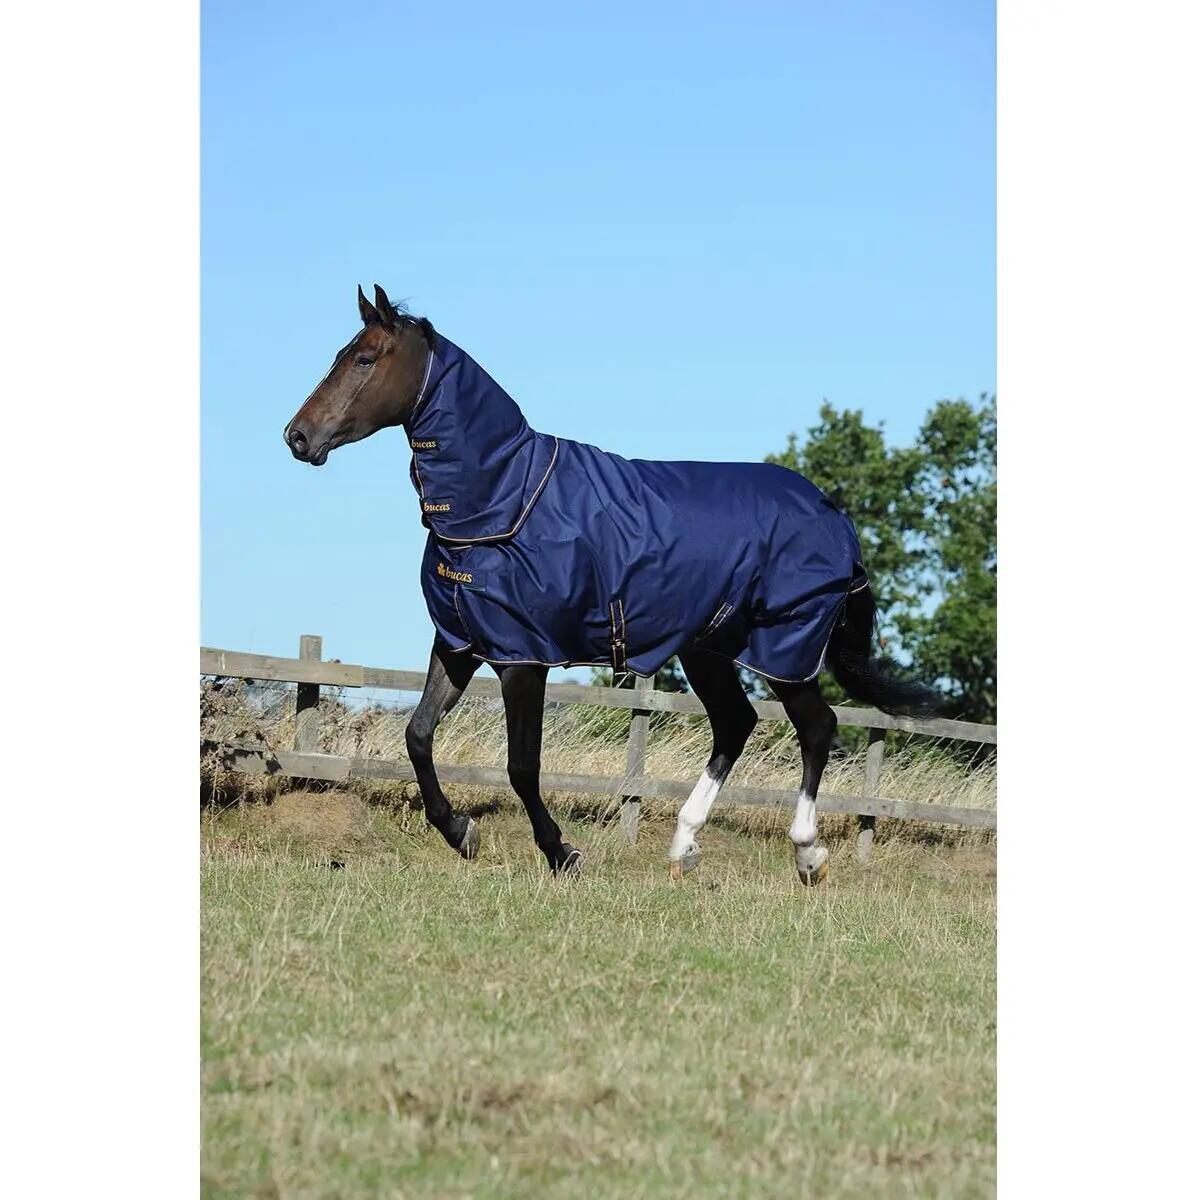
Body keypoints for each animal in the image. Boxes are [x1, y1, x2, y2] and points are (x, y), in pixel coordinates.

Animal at [284, 284, 936, 884]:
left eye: (365, 358)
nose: (297, 436)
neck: (503, 499)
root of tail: (836, 519)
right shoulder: (461, 643)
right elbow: (418, 736)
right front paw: (461, 833)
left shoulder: (524, 658)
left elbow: (522, 766)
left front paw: (560, 852)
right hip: (708, 649)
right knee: (736, 723)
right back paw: (684, 847)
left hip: (785, 646)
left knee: (816, 728)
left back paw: (807, 853)